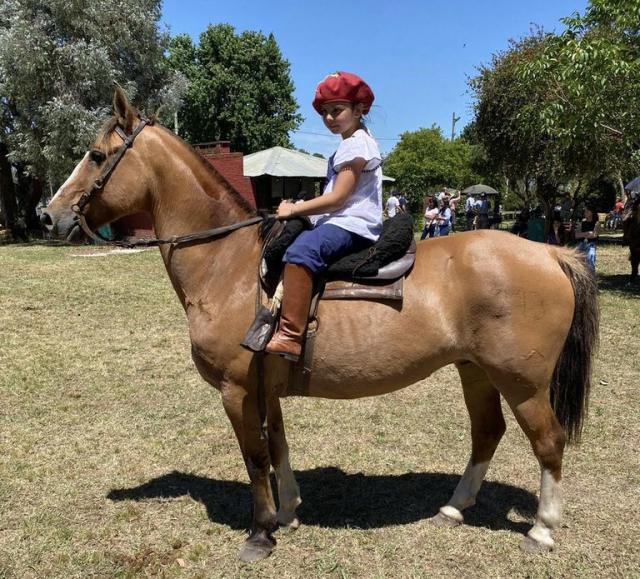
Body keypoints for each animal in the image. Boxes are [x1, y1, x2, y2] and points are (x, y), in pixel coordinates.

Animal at [41, 88, 600, 564]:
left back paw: (542, 529)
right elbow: (277, 447)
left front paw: (261, 532)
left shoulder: (236, 389)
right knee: (487, 433)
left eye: (96, 155)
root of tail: (550, 254)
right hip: (475, 371)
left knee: (548, 441)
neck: (229, 265)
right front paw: (288, 512)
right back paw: (452, 508)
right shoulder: (265, 387)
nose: (48, 216)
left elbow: (254, 456)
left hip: (522, 381)